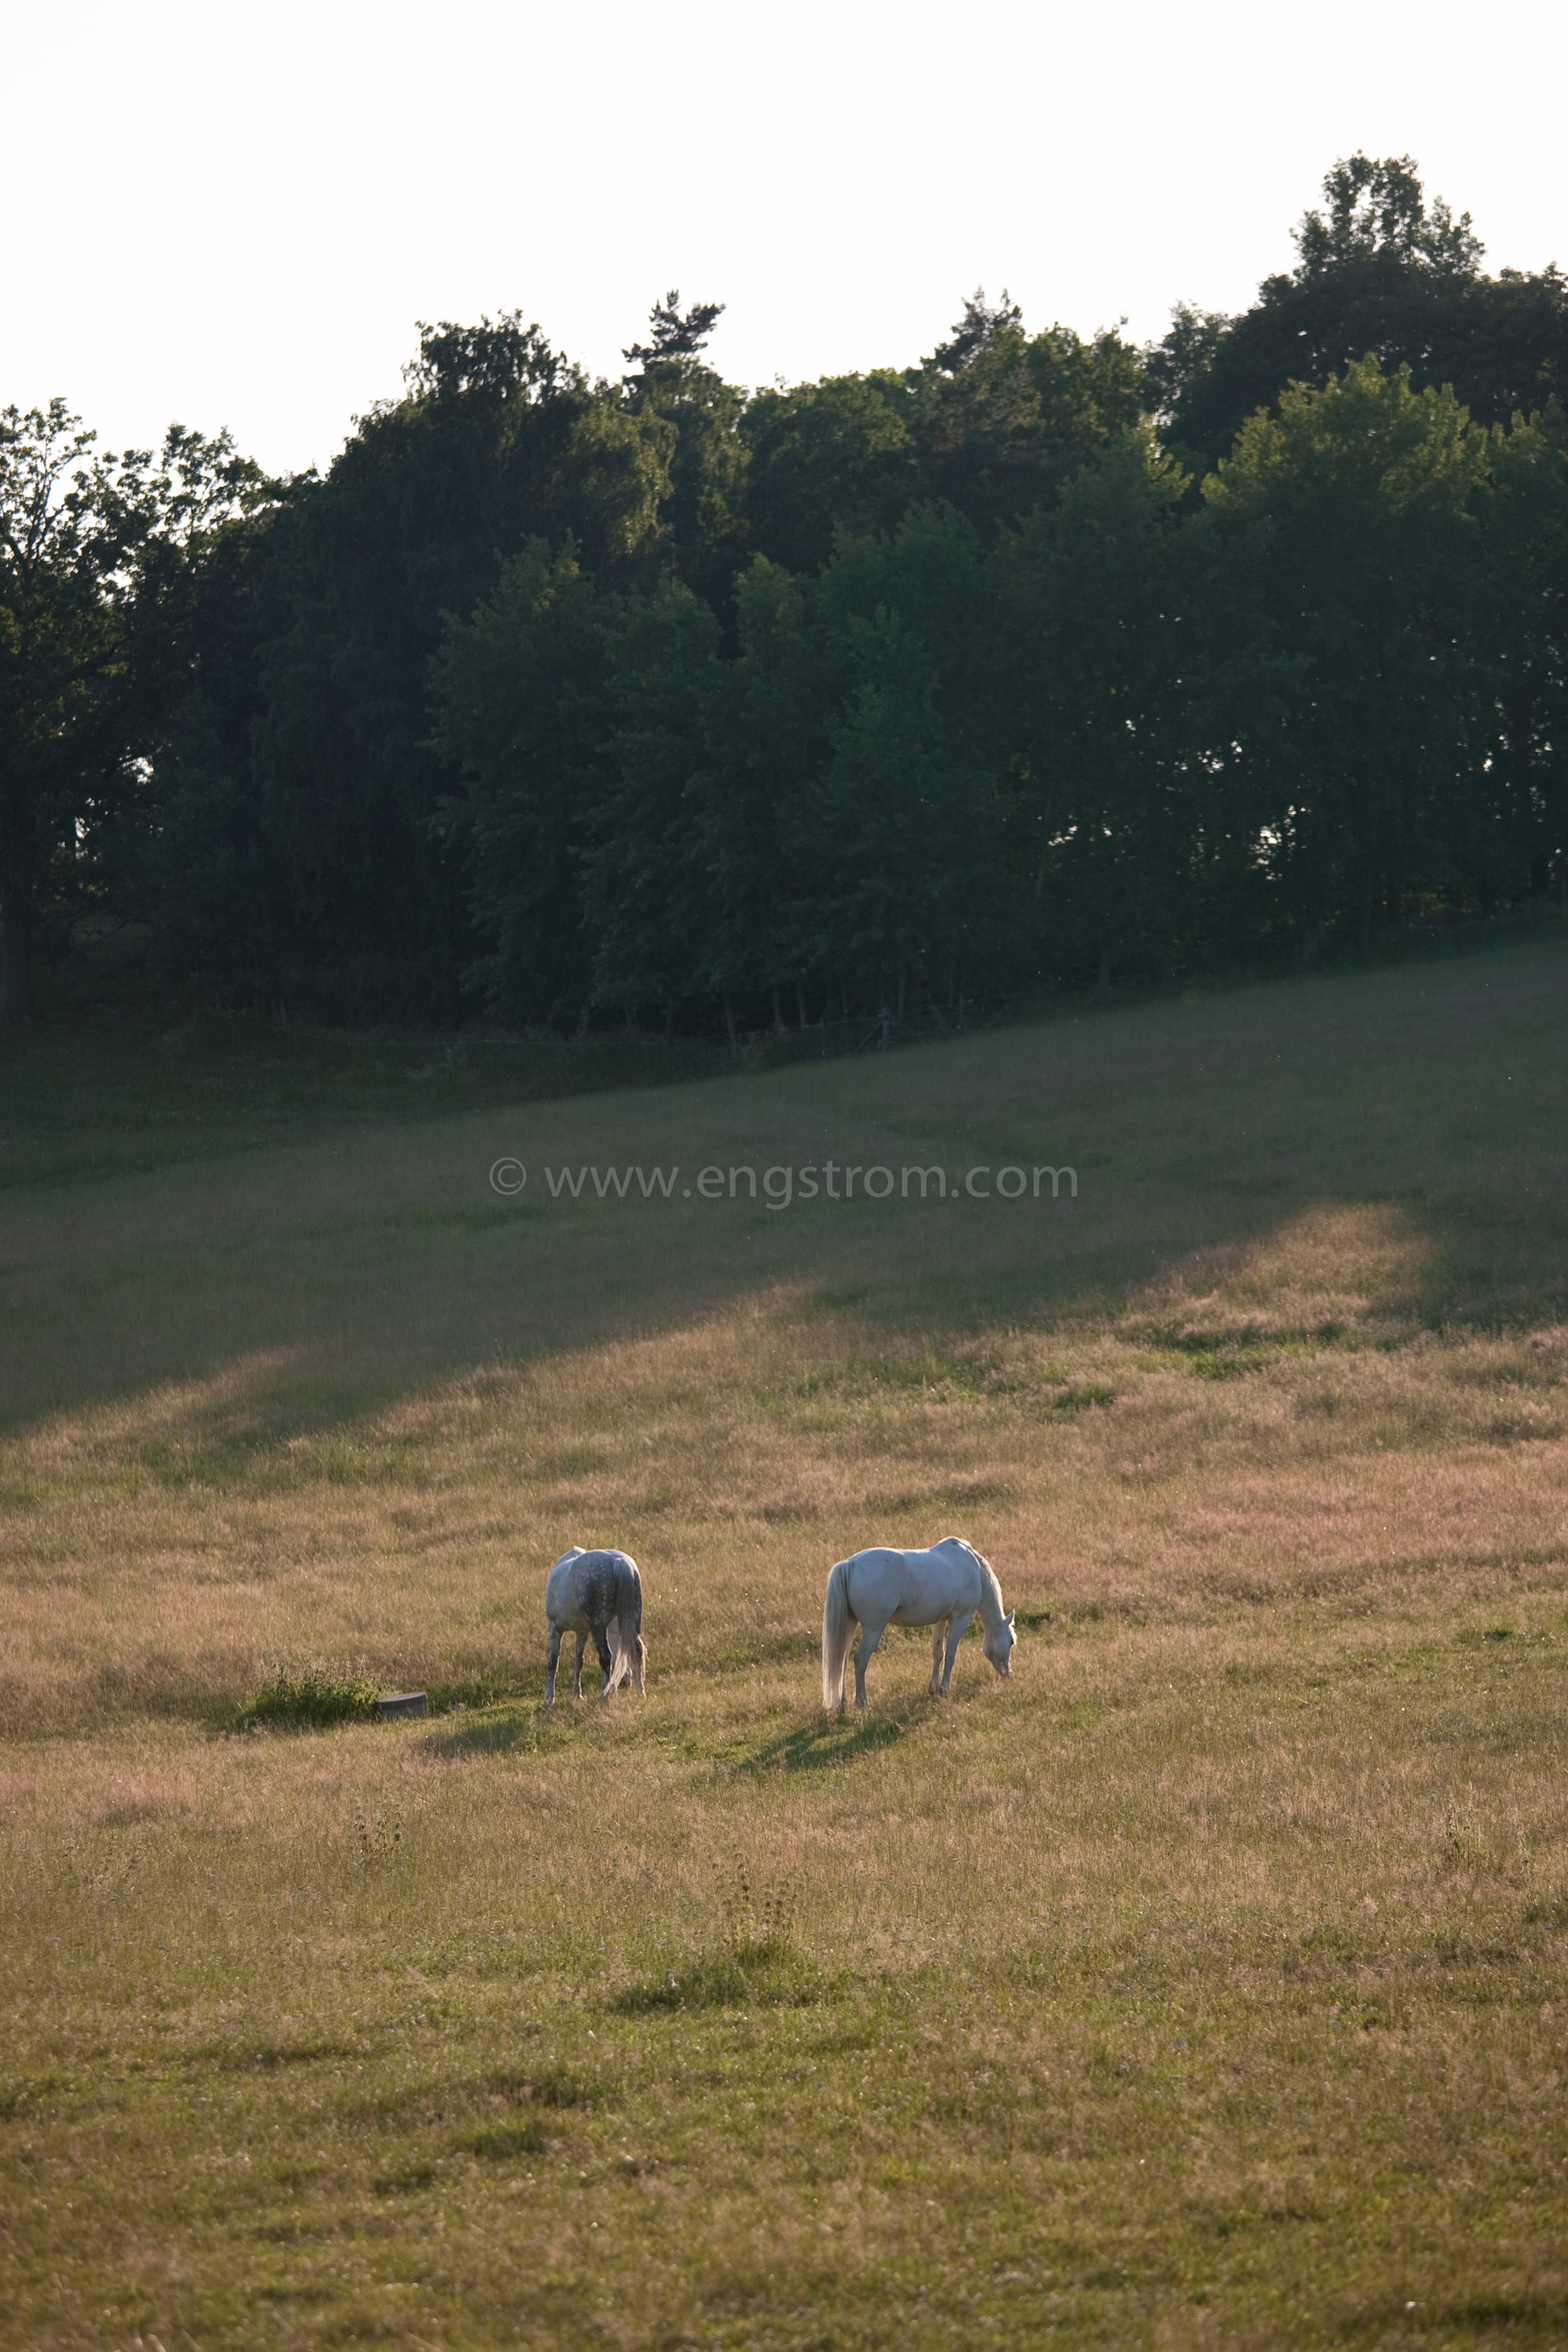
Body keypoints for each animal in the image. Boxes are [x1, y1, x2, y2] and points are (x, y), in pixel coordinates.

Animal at [545, 1543, 643, 1712]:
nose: (626, 1683)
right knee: (637, 1652)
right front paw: (577, 1694)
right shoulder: (582, 1631)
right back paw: (640, 1694)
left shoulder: (555, 1629)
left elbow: (553, 1663)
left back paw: (604, 1696)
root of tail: (620, 1562)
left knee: (606, 1657)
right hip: (631, 1622)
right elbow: (578, 1661)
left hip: (598, 1626)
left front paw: (549, 1698)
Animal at [822, 1534, 1020, 1722]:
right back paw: (862, 1703)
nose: (1008, 1674)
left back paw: (842, 1703)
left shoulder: (939, 1620)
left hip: (850, 1625)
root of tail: (850, 1564)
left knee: (842, 1660)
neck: (973, 1567)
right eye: (1011, 1641)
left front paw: (933, 1688)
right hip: (873, 1629)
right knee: (860, 1660)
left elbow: (938, 1653)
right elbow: (950, 1655)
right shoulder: (960, 1619)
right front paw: (944, 1689)